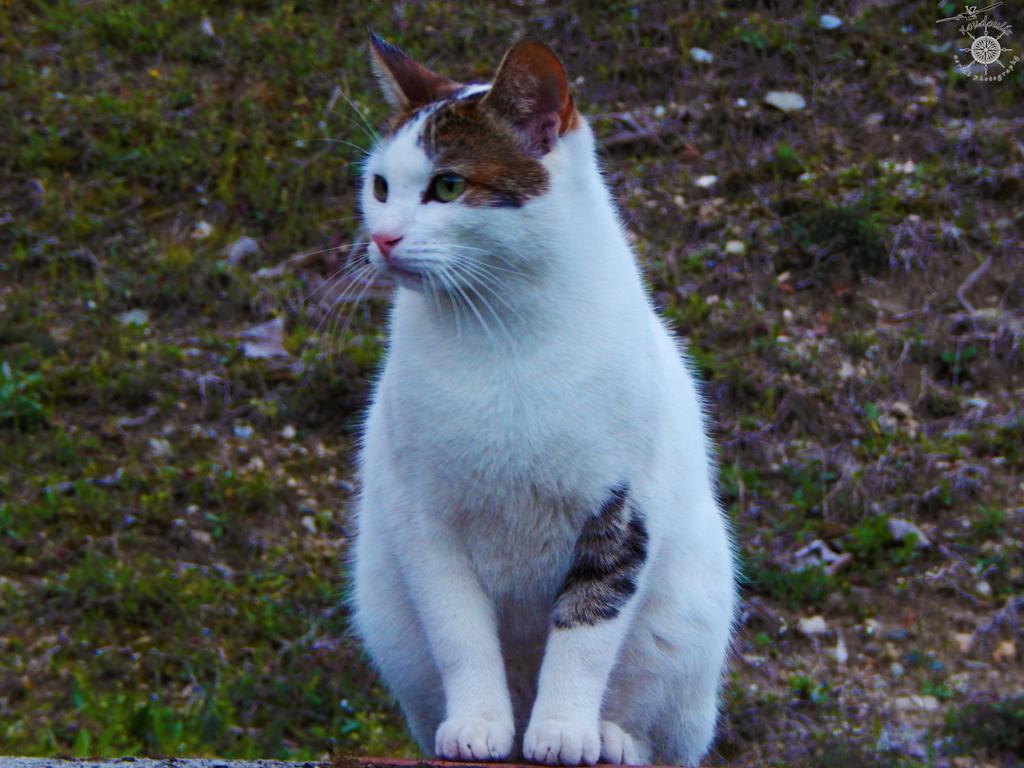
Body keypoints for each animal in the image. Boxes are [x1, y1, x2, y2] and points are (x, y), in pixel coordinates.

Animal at [352, 33, 737, 768]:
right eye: (380, 186)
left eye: (448, 185)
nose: (381, 238)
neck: (501, 333)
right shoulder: (424, 519)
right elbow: (460, 633)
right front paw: (476, 724)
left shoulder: (622, 512)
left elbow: (586, 630)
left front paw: (563, 730)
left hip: (689, 630)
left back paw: (612, 738)